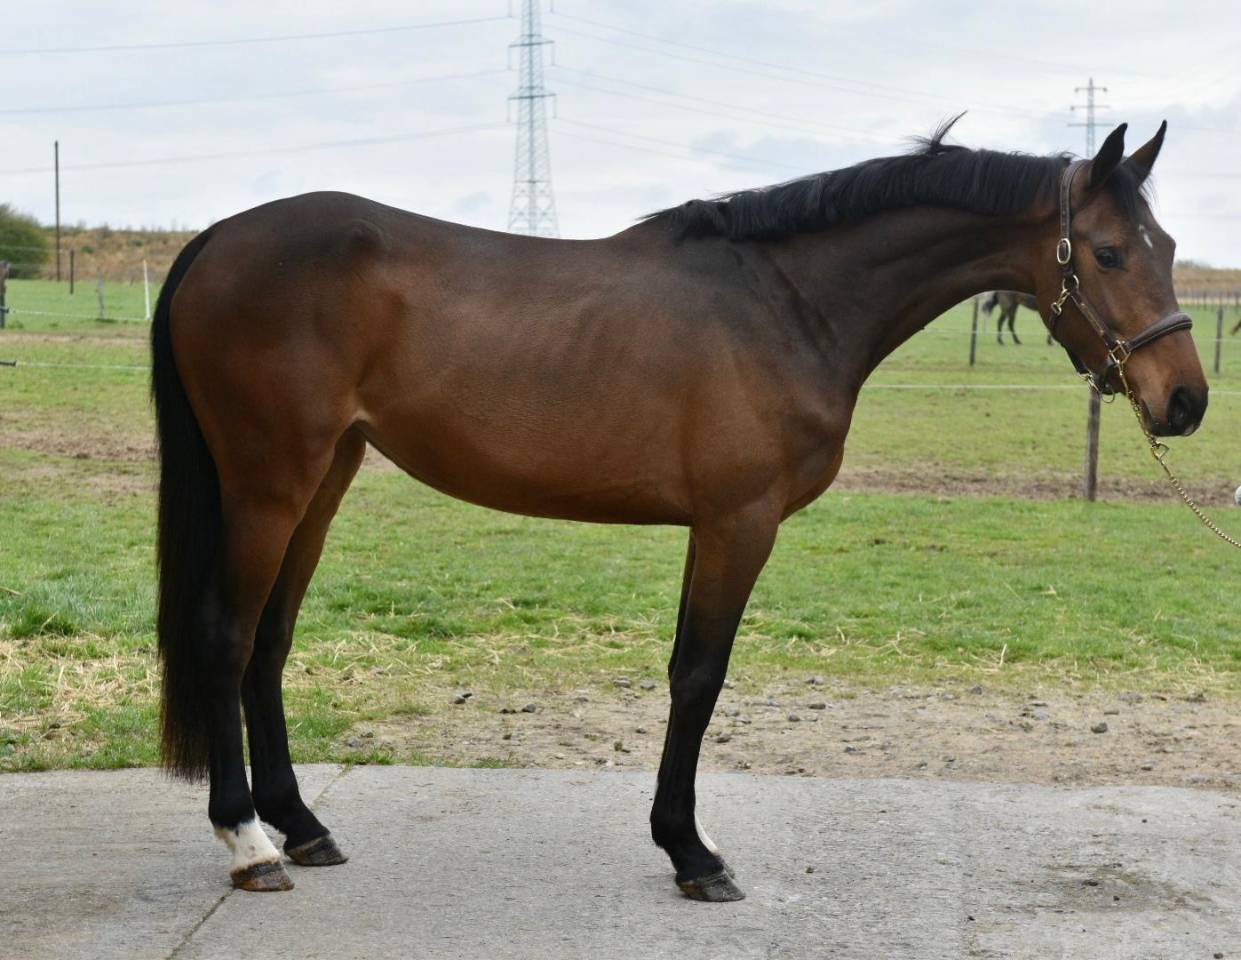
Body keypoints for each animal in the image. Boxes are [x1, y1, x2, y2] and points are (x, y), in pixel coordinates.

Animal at [152, 118, 1205, 903]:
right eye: (1107, 252)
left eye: (1166, 246)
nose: (1185, 400)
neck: (785, 304)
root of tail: (216, 238)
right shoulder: (738, 522)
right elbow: (698, 677)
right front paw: (691, 854)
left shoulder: (720, 526)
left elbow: (688, 675)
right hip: (271, 482)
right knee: (226, 636)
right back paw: (249, 844)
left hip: (323, 478)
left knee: (270, 643)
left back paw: (302, 826)